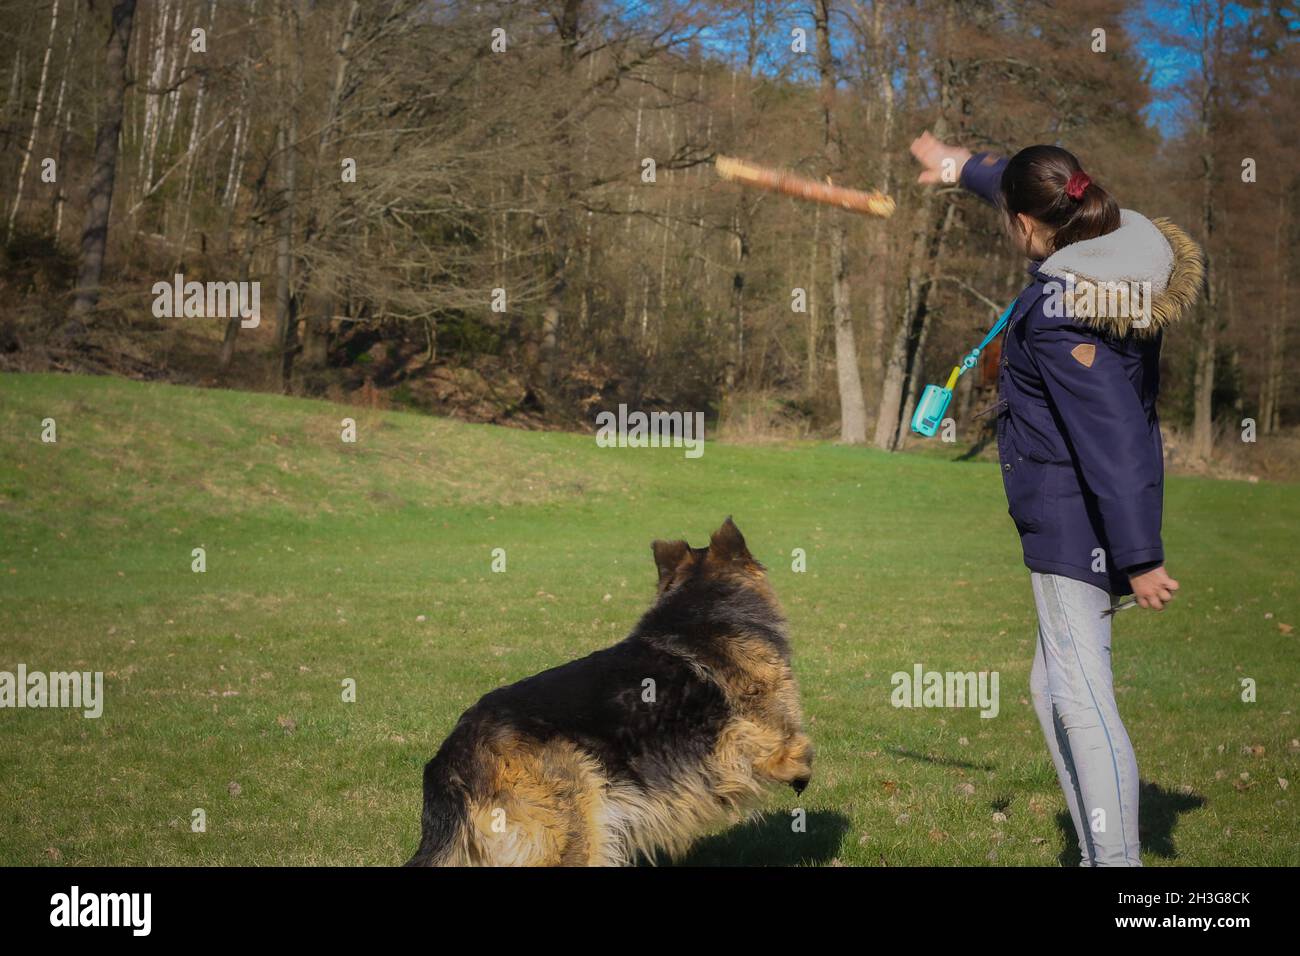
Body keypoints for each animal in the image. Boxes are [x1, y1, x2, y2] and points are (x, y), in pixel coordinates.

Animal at [405, 520, 811, 868]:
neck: (702, 606)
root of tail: (451, 755)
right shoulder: (754, 730)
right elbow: (794, 747)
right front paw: (799, 772)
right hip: (575, 827)